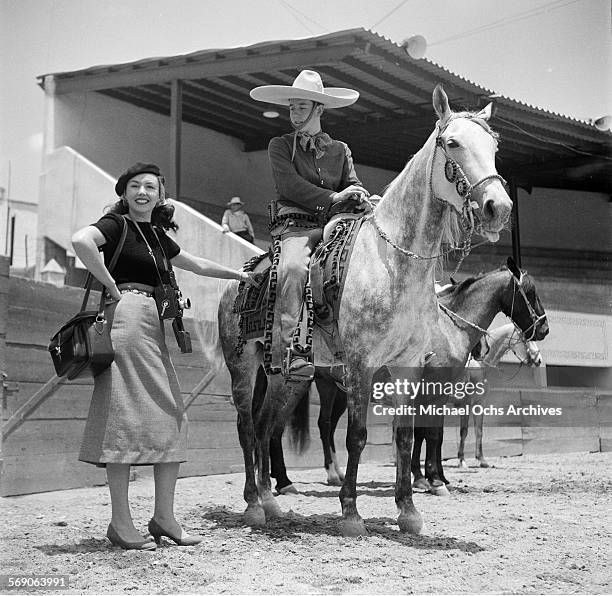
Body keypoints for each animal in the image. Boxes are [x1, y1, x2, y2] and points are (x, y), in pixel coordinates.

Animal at [218, 82, 512, 536]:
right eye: (452, 143)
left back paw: (271, 502)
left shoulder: (408, 366)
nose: (499, 207)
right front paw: (351, 512)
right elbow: (356, 435)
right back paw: (252, 504)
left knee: (267, 426)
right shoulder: (360, 363)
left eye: (494, 146)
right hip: (243, 366)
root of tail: (240, 277)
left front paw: (408, 510)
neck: (391, 263)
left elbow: (406, 436)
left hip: (286, 376)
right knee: (247, 426)